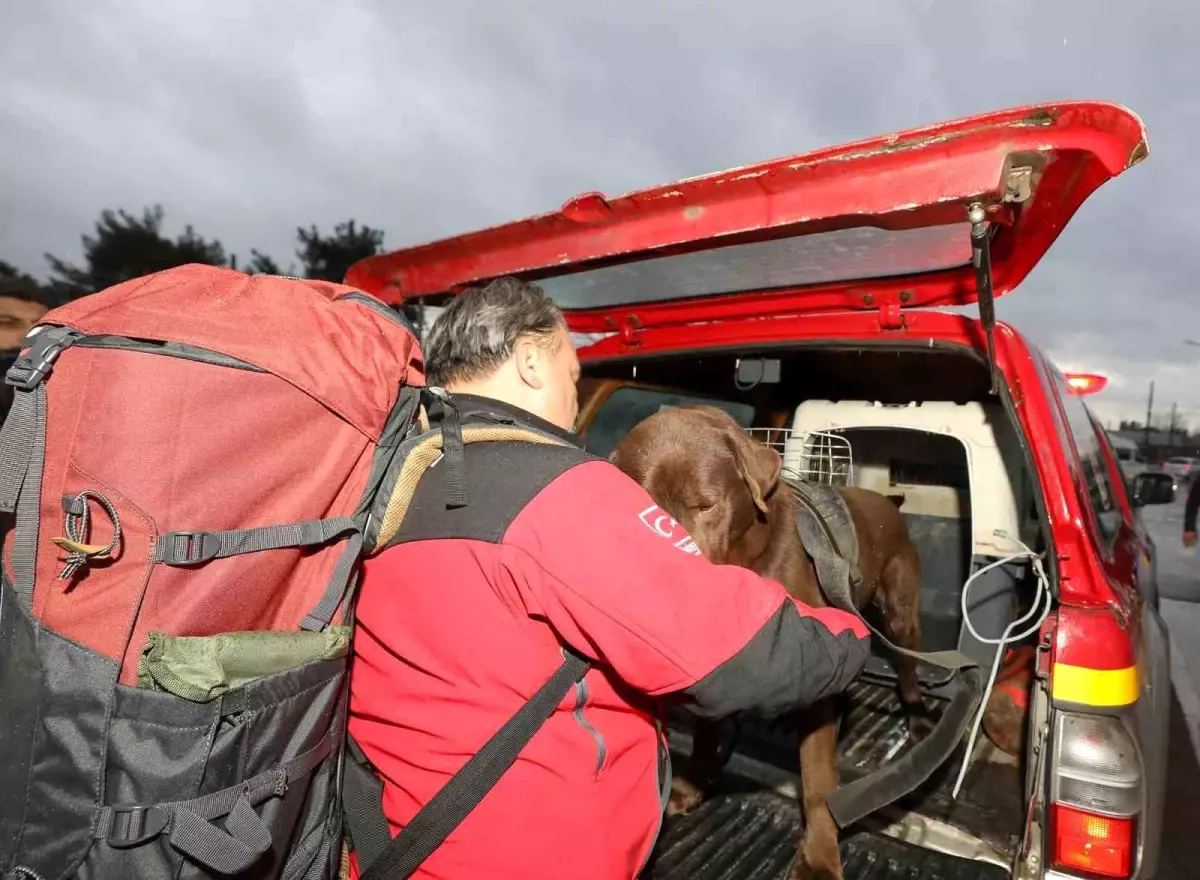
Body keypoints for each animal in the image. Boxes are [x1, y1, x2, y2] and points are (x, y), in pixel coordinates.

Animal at [614, 405, 931, 878]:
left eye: (705, 504)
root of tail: (886, 504)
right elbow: (707, 731)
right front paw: (690, 786)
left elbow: (817, 777)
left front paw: (819, 858)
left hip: (900, 610)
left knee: (908, 668)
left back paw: (919, 719)